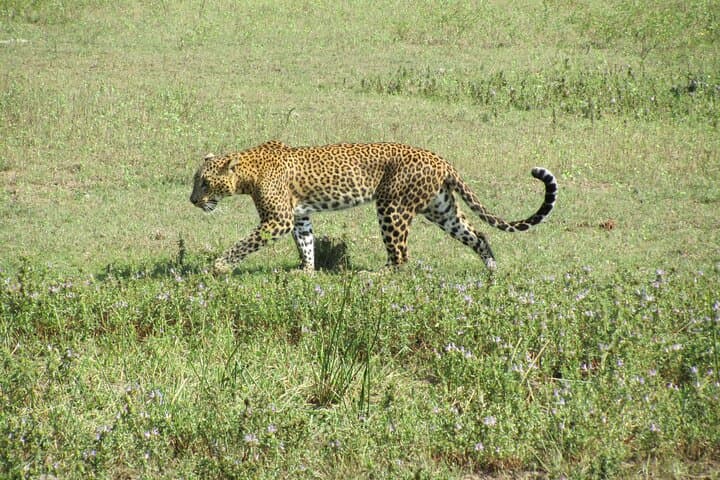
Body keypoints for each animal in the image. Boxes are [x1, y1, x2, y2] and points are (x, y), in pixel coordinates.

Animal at [190, 140, 557, 274]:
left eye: (205, 183)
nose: (193, 200)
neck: (248, 173)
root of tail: (441, 160)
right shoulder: (299, 216)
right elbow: (306, 243)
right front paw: (306, 271)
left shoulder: (277, 220)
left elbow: (244, 244)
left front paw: (219, 266)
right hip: (440, 208)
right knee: (478, 233)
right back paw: (491, 269)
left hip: (392, 207)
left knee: (401, 257)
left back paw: (375, 276)